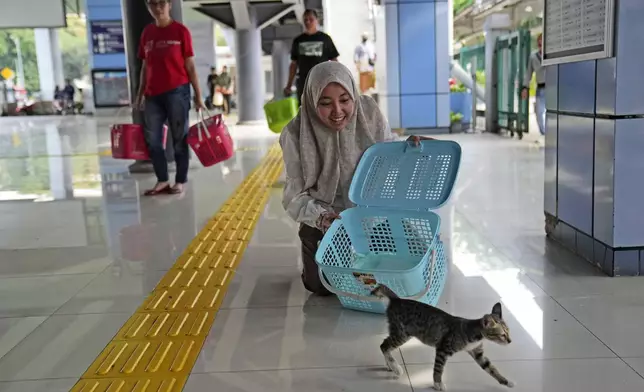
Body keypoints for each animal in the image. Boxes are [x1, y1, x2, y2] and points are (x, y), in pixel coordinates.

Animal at [372, 284, 512, 390]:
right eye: (502, 335)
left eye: (508, 332)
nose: (510, 341)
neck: (475, 334)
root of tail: (397, 299)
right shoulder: (443, 350)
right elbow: (438, 369)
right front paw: (437, 384)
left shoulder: (478, 353)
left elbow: (490, 368)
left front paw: (506, 381)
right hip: (402, 334)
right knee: (383, 346)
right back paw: (395, 367)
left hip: (400, 333)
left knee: (386, 346)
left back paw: (391, 366)